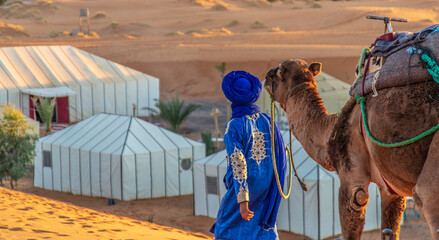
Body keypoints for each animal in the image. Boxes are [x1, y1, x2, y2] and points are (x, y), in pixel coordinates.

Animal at [264, 58, 439, 240]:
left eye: (279, 70)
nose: (266, 76)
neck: (330, 131)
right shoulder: (390, 188)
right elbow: (390, 229)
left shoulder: (352, 179)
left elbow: (355, 209)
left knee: (426, 197)